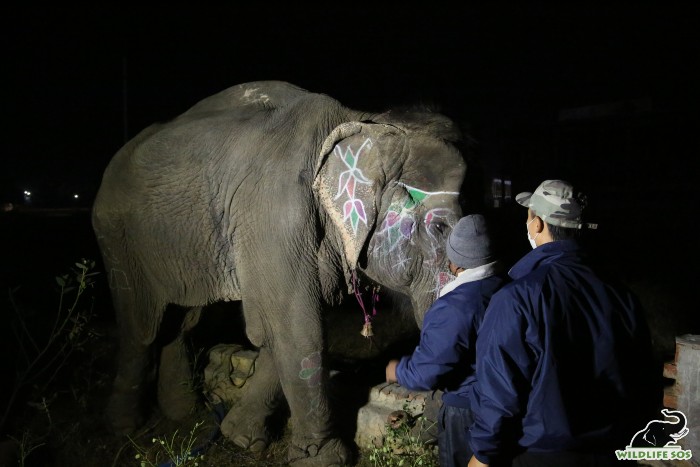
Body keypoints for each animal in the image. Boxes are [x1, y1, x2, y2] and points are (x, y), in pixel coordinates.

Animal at [90, 80, 474, 464]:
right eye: (440, 228)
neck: (365, 120)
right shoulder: (276, 216)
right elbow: (297, 326)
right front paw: (322, 459)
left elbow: (281, 326)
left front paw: (241, 438)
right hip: (115, 235)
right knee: (141, 325)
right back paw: (125, 426)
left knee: (184, 321)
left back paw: (184, 413)